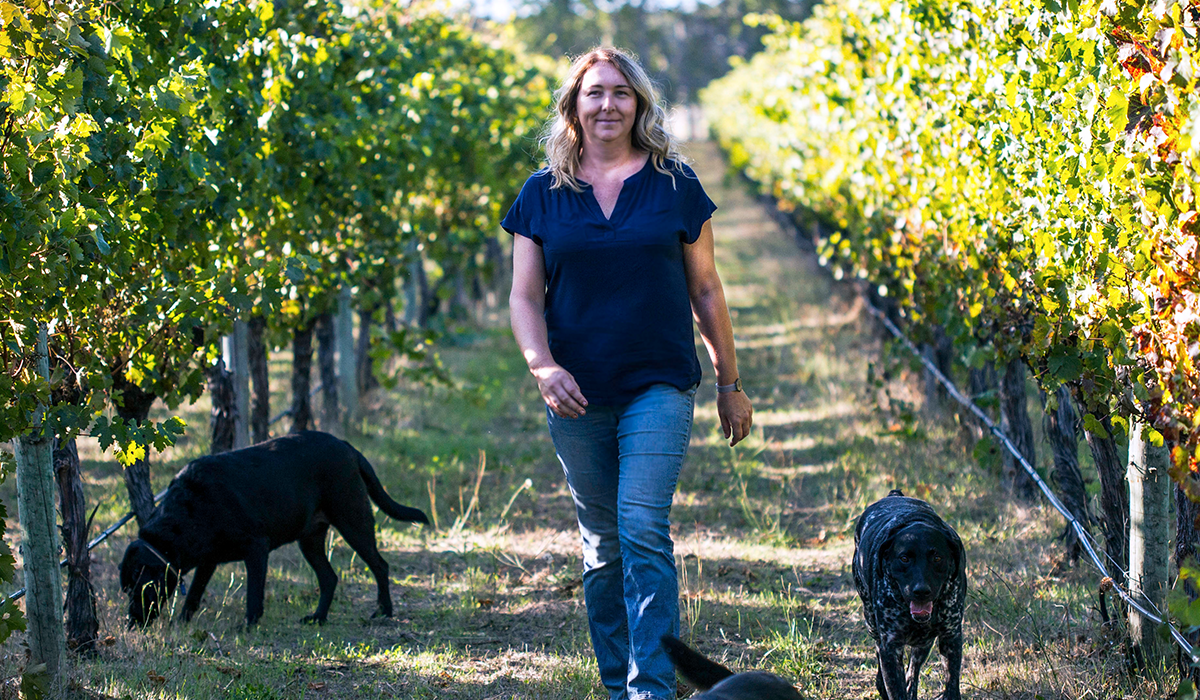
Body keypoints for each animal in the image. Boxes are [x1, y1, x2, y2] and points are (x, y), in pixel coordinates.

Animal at [854, 489, 964, 700]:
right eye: (904, 558)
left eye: (937, 558)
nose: (921, 591)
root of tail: (894, 494)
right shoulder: (890, 646)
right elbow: (895, 689)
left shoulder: (951, 637)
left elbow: (951, 685)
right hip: (872, 623)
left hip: (925, 642)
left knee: (913, 672)